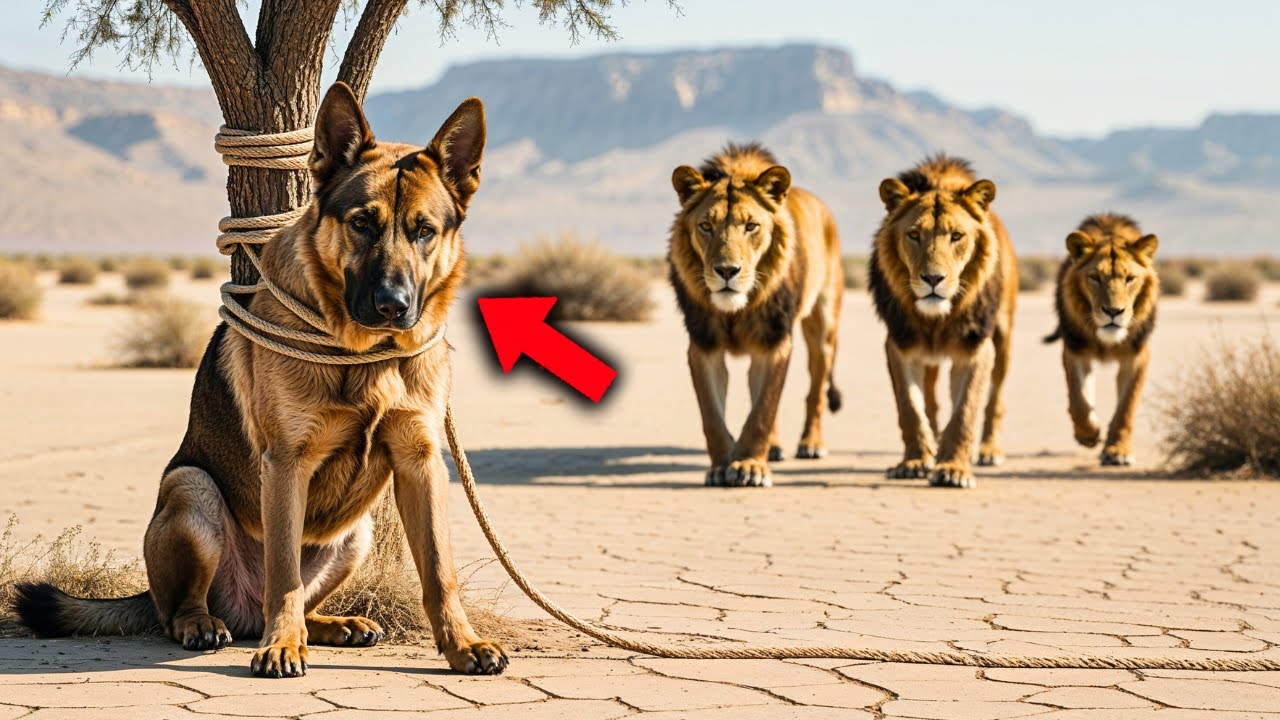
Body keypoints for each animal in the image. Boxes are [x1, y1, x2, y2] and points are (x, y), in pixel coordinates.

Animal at [668, 143, 844, 487]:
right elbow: (712, 416)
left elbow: (763, 410)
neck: (736, 310)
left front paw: (749, 466)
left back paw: (811, 444)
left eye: (751, 226)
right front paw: (721, 466)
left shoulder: (774, 342)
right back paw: (773, 448)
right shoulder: (703, 346)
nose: (727, 271)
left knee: (815, 391)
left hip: (823, 327)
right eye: (706, 226)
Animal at [869, 155, 1017, 488]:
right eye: (913, 235)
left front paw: (952, 469)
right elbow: (911, 408)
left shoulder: (976, 348)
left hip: (1003, 338)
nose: (933, 279)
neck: (936, 319)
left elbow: (965, 410)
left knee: (995, 399)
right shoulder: (899, 345)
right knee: (931, 401)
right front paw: (914, 462)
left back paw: (989, 450)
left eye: (956, 236)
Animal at [1044, 213, 1159, 466]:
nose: (1113, 311)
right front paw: (1088, 434)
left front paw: (1117, 451)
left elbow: (1126, 406)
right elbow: (1078, 399)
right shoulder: (1075, 350)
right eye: (1095, 277)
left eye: (1130, 278)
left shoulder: (1137, 354)